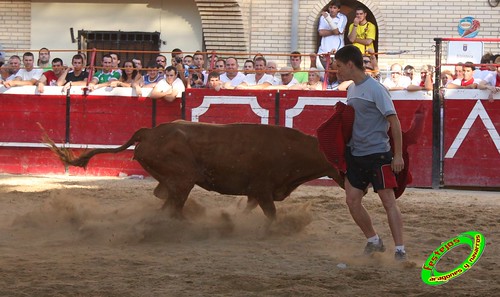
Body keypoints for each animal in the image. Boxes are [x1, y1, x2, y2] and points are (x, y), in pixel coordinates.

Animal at [43, 119, 342, 219]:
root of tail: (149, 131)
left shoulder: (255, 194)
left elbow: (252, 210)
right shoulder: (262, 190)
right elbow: (271, 215)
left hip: (174, 181)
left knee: (165, 200)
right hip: (183, 179)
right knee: (174, 205)